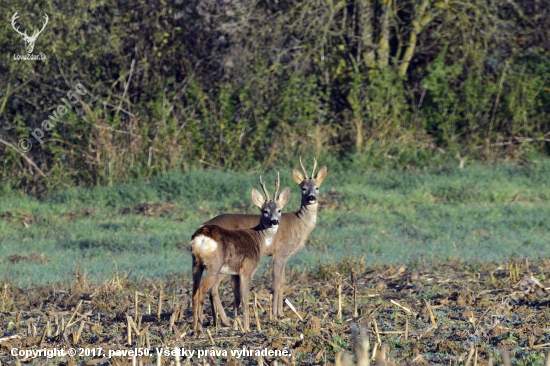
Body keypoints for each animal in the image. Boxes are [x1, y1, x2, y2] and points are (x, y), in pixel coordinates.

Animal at [191, 173, 294, 336]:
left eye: (279, 210)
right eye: (265, 211)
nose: (274, 221)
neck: (258, 238)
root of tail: (201, 237)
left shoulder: (235, 273)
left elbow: (237, 299)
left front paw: (236, 327)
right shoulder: (247, 270)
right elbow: (246, 300)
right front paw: (247, 328)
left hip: (196, 264)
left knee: (193, 292)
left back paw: (195, 330)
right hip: (214, 266)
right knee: (200, 292)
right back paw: (199, 330)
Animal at [205, 157, 328, 324]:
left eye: (317, 187)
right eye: (303, 188)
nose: (311, 198)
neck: (299, 224)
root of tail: (204, 226)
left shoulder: (285, 256)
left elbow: (283, 282)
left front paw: (282, 313)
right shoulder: (280, 252)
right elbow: (276, 283)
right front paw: (276, 314)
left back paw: (215, 321)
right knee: (214, 287)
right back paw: (225, 321)